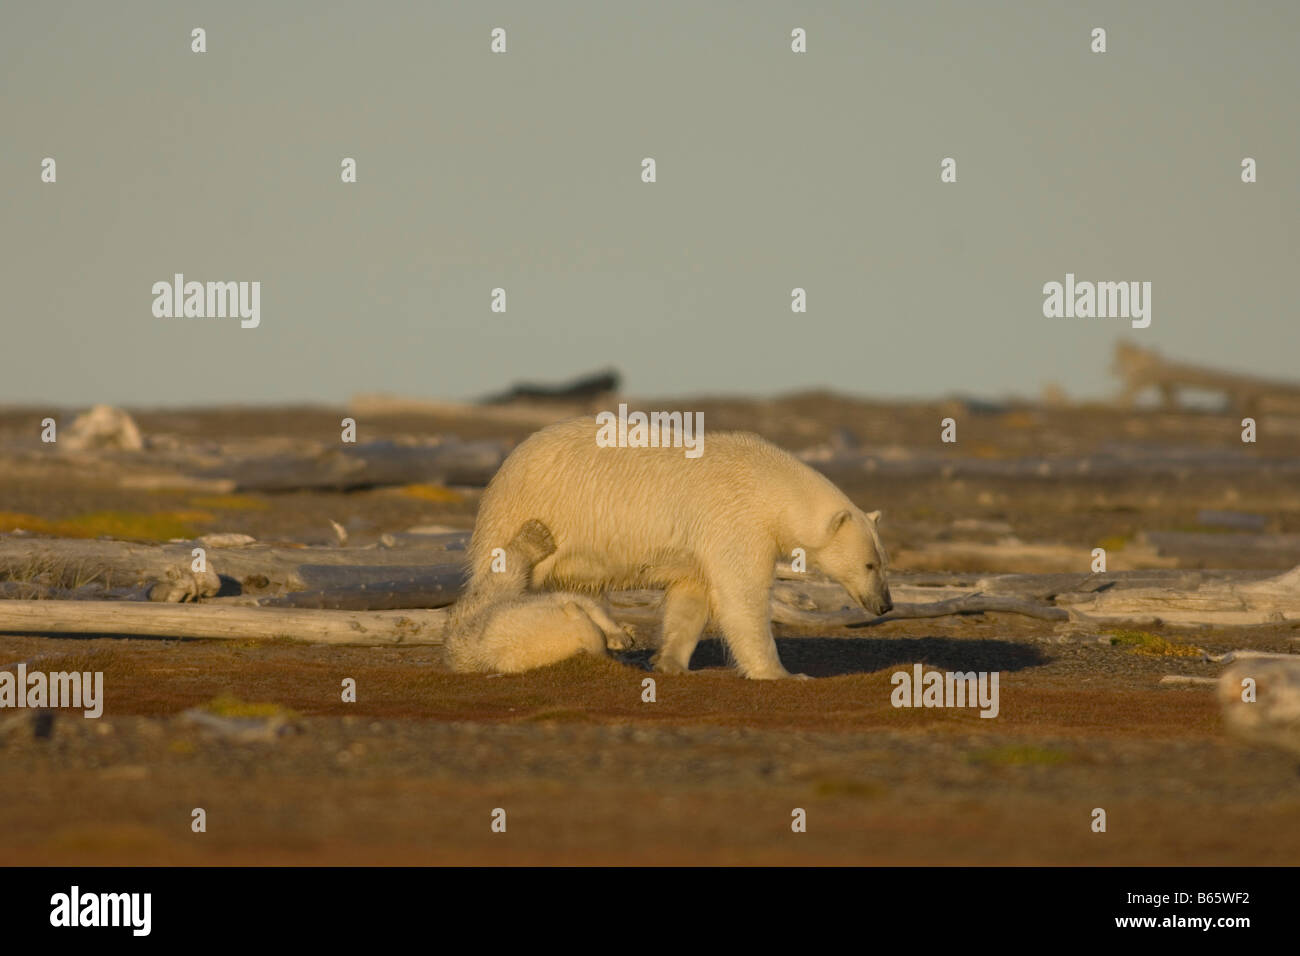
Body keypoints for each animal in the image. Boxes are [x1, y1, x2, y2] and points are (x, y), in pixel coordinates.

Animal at [467, 418, 894, 681]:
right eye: (870, 565)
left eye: (882, 562)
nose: (886, 604)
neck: (771, 485)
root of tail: (511, 459)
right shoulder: (736, 519)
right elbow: (742, 595)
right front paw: (783, 673)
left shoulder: (702, 543)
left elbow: (692, 597)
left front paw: (669, 662)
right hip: (533, 510)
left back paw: (615, 636)